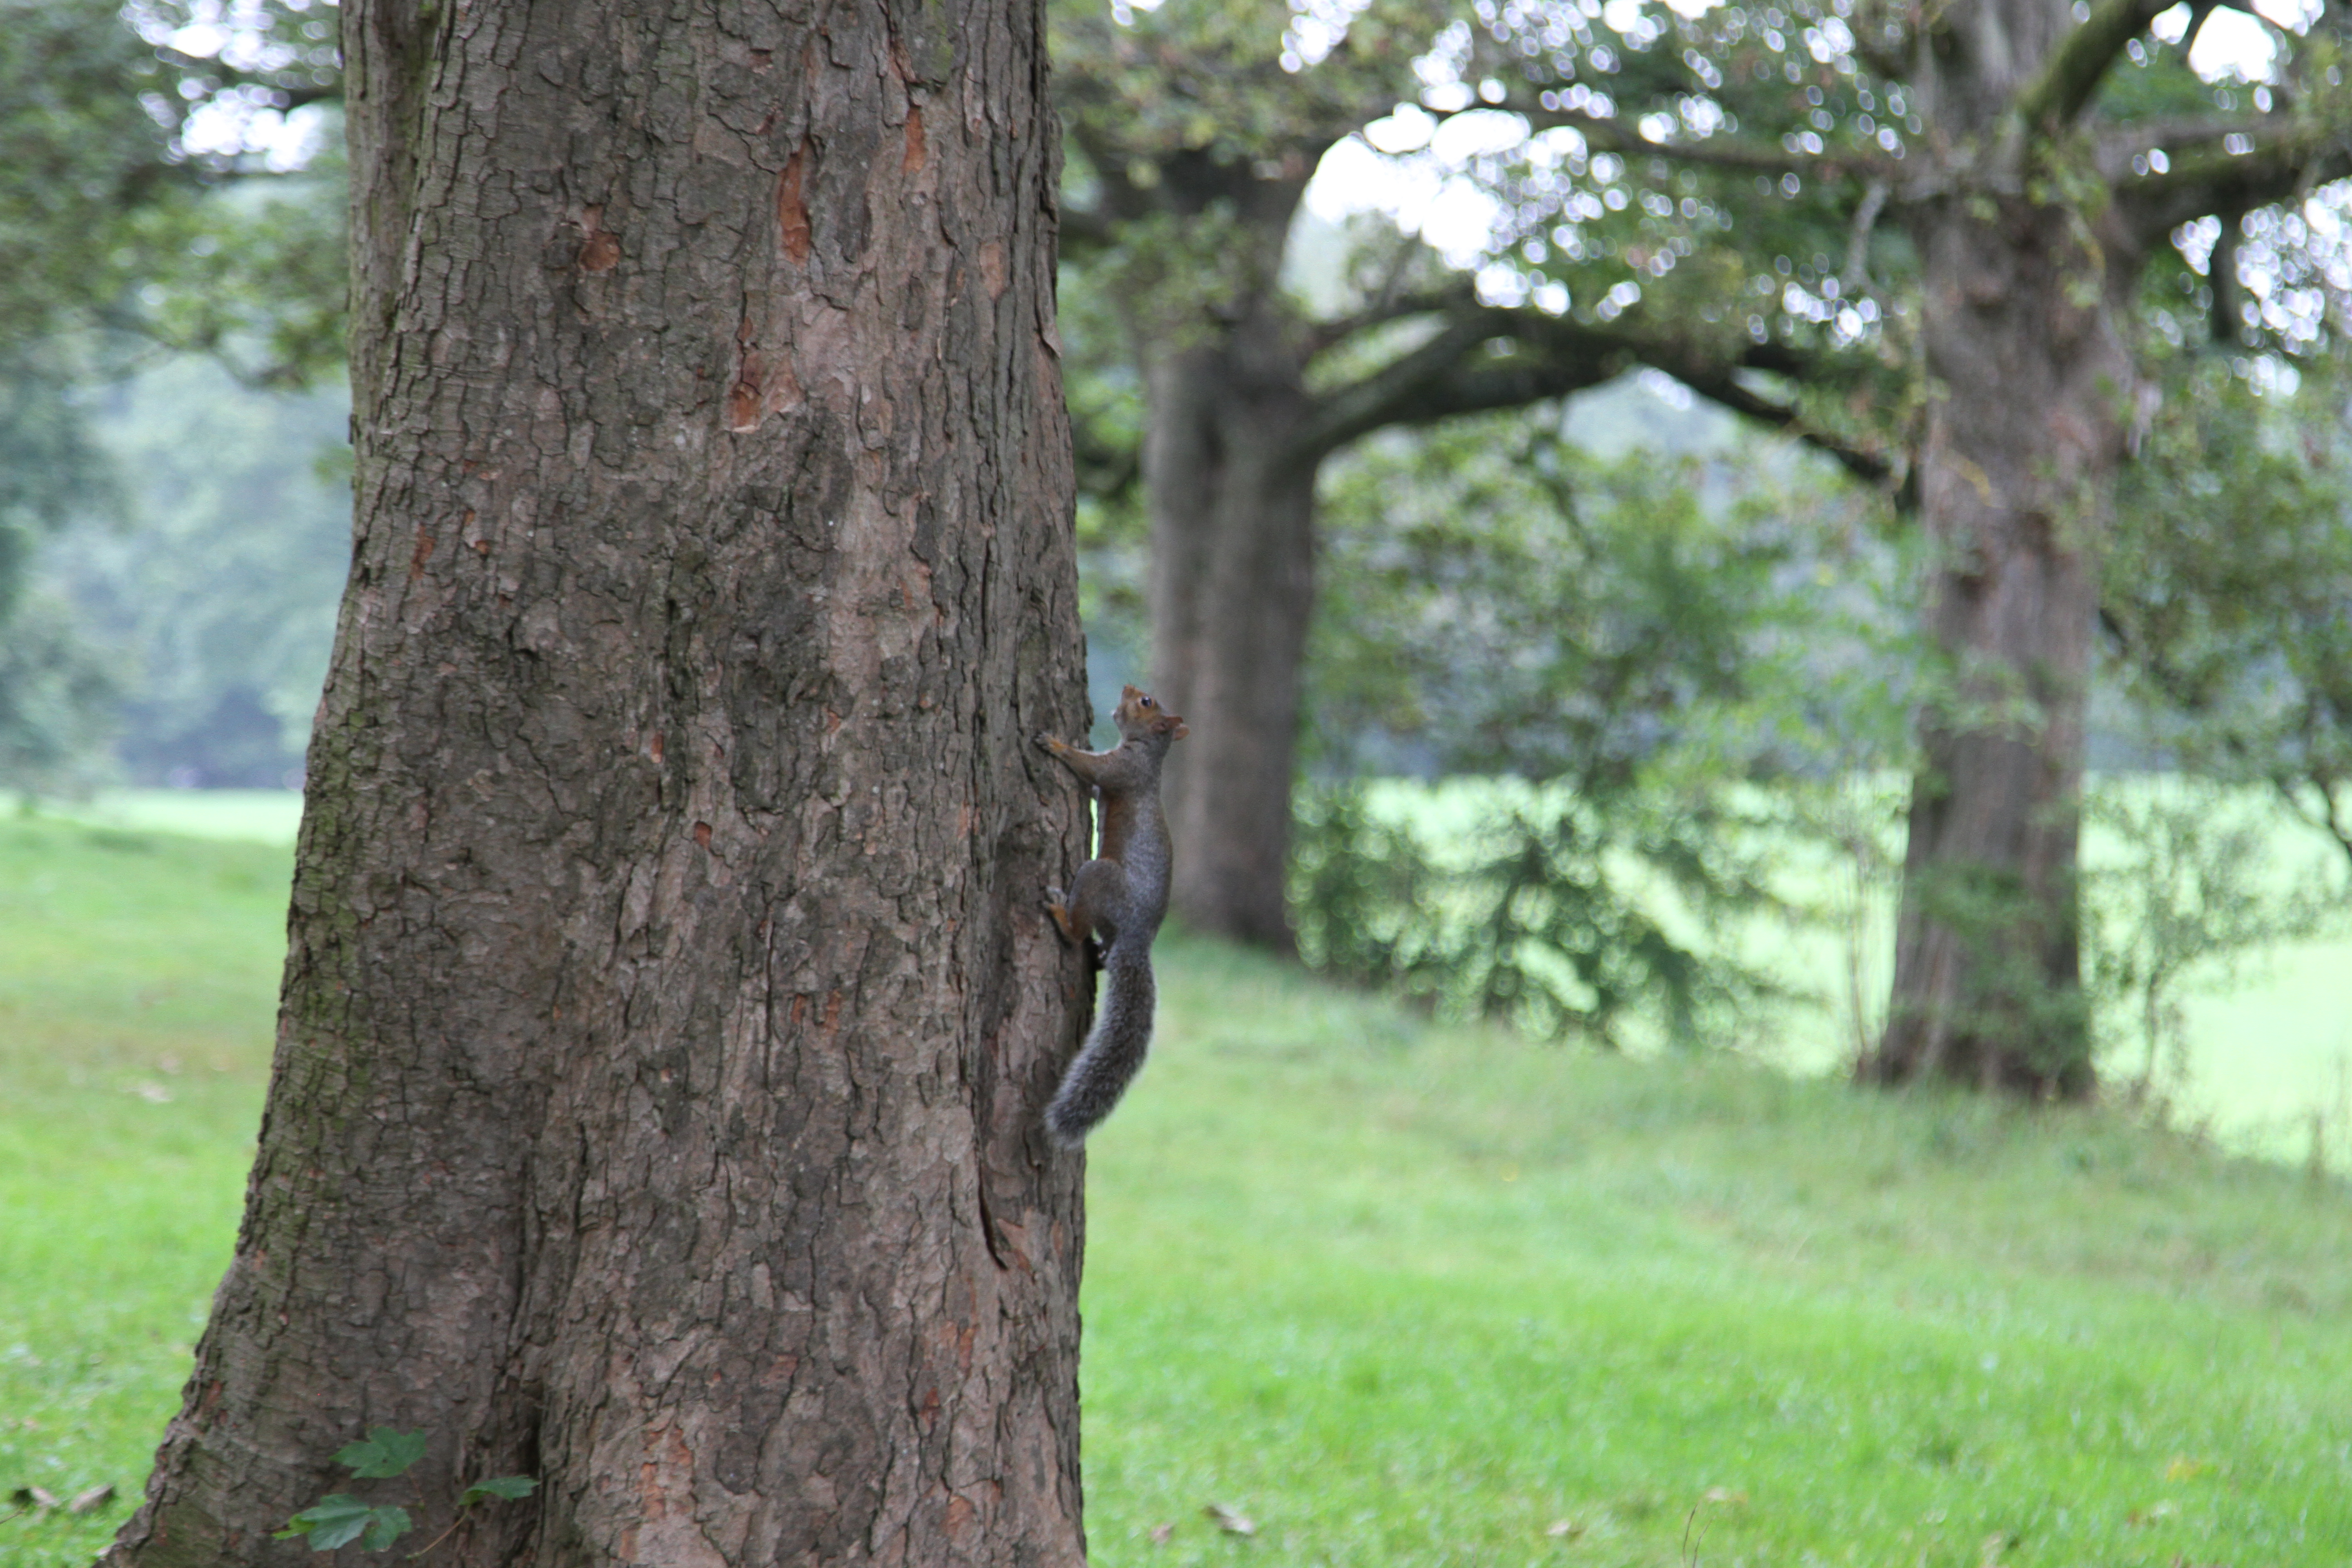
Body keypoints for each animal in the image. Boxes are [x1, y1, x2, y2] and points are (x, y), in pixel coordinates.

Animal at [1034, 684, 1188, 1148]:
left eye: (1146, 703)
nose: (1128, 689)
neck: (1149, 756)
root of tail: (1136, 938)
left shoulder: (1121, 770)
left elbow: (1089, 766)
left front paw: (1057, 744)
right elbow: (1093, 790)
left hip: (1097, 875)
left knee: (1077, 931)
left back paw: (1060, 913)